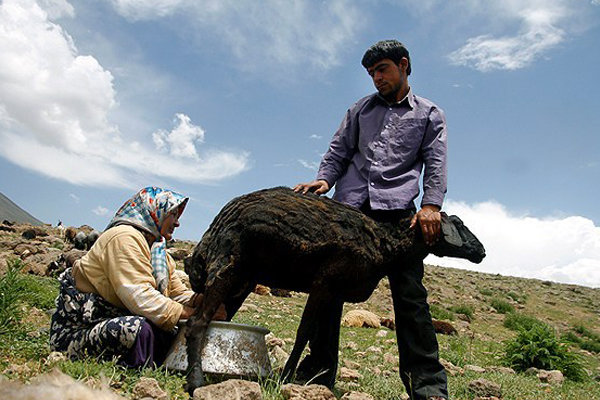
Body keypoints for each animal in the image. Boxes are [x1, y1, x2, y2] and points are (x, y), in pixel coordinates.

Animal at [184, 188, 488, 394]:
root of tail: (215, 227)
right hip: (226, 268)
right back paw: (195, 380)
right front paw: (284, 378)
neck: (384, 244)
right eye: (460, 224)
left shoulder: (335, 293)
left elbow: (321, 334)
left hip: (242, 281)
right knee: (197, 323)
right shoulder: (323, 283)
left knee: (215, 320)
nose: (483, 252)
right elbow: (303, 332)